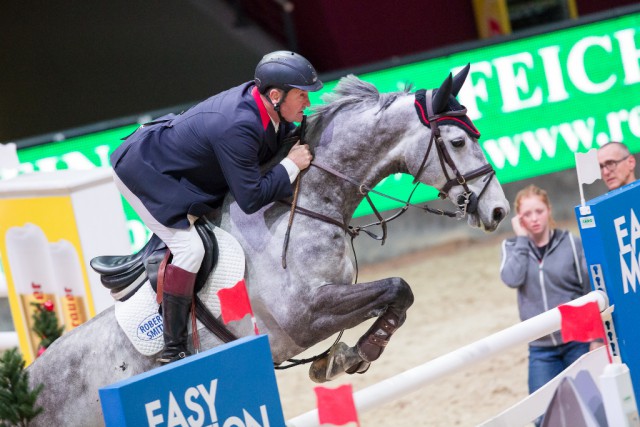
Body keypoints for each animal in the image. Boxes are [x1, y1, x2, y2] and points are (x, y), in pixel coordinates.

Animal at [26, 67, 510, 424]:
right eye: (458, 141)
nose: (500, 211)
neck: (308, 202)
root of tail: (24, 384)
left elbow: (400, 295)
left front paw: (347, 355)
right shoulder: (306, 316)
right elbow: (397, 287)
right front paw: (352, 355)